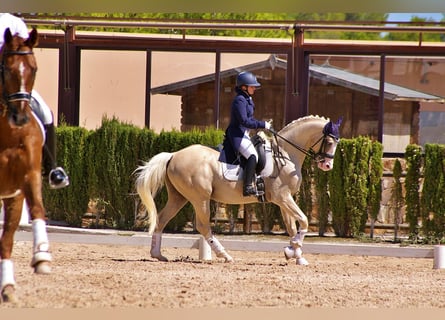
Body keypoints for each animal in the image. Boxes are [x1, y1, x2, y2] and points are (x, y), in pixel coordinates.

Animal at [134, 115, 342, 264]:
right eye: (330, 142)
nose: (327, 166)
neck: (285, 153)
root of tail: (173, 155)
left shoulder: (284, 200)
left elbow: (292, 227)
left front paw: (296, 255)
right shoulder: (282, 197)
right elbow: (304, 220)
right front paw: (293, 249)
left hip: (179, 197)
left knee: (161, 219)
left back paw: (157, 255)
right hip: (200, 198)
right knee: (203, 226)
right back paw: (225, 256)